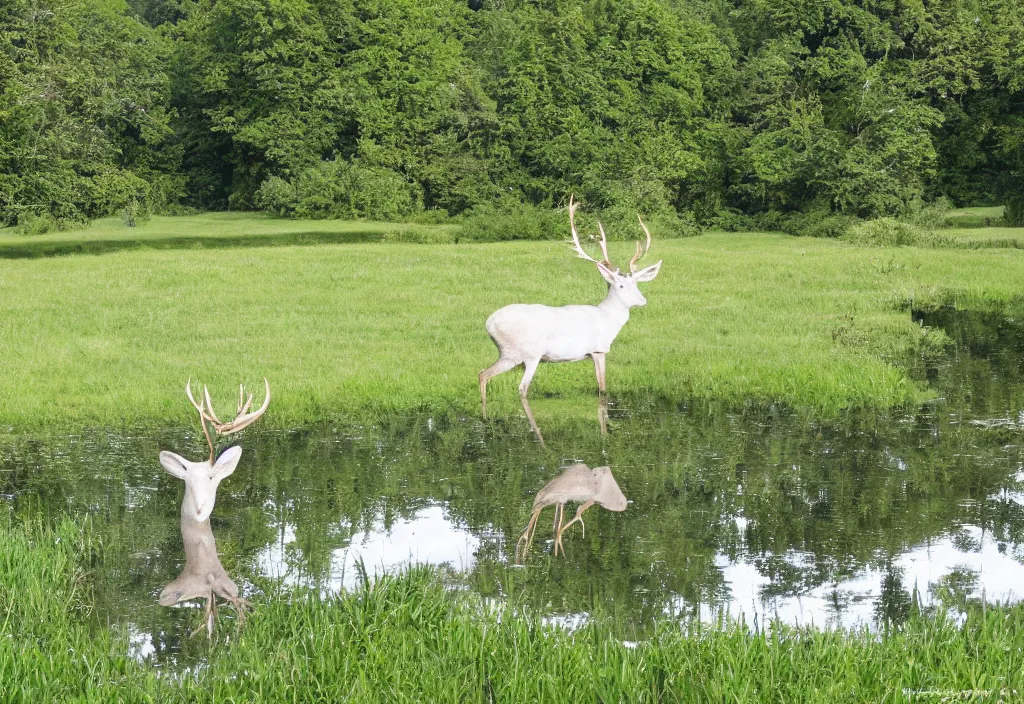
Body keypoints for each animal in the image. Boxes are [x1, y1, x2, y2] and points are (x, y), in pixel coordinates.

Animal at [481, 195, 663, 442]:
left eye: (637, 283)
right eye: (621, 285)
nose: (642, 300)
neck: (607, 320)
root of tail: (489, 323)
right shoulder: (598, 349)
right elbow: (602, 388)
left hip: (507, 354)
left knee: (483, 374)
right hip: (527, 353)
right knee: (521, 389)